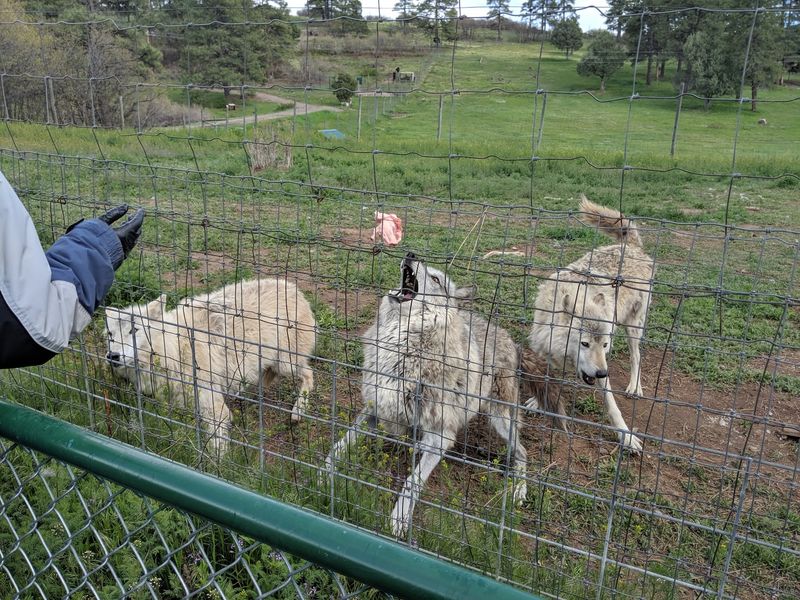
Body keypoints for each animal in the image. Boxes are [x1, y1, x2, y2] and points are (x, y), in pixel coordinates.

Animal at [105, 278, 317, 455]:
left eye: (134, 330)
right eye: (110, 334)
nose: (112, 356)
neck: (177, 347)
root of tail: (294, 288)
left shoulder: (213, 407)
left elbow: (216, 447)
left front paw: (219, 468)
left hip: (286, 364)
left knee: (308, 374)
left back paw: (298, 411)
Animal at [324, 253, 528, 538]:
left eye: (436, 279)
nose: (410, 254)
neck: (401, 349)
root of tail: (509, 337)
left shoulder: (441, 436)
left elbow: (412, 482)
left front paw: (398, 521)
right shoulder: (375, 408)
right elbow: (340, 444)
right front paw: (323, 474)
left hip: (501, 419)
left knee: (523, 453)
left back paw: (518, 492)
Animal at [527, 196, 655, 453]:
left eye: (604, 345)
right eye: (584, 344)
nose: (603, 372)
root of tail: (631, 247)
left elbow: (612, 405)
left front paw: (626, 436)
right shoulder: (542, 348)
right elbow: (545, 378)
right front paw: (538, 401)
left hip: (634, 326)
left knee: (636, 355)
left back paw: (634, 387)